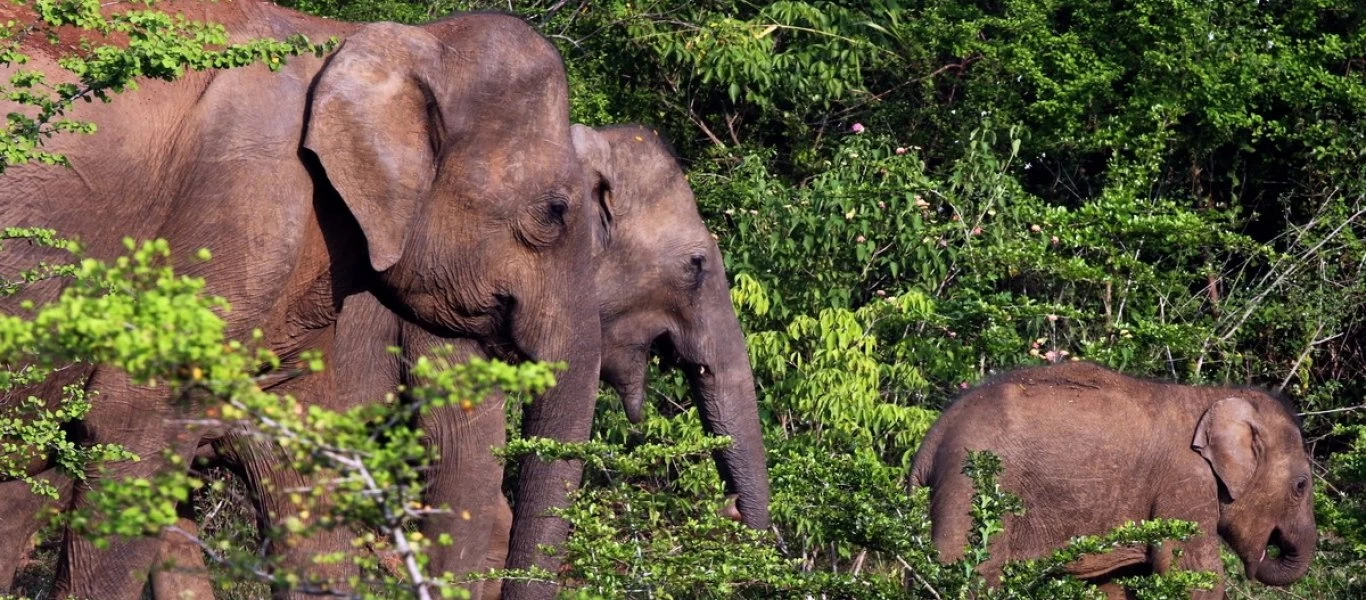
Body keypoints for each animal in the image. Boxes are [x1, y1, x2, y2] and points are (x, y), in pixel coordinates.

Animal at [912, 358, 1316, 598]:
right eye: (1301, 486)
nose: (1263, 555)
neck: (1212, 396)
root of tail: (932, 438)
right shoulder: (1185, 482)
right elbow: (1192, 574)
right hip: (972, 481)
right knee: (968, 569)